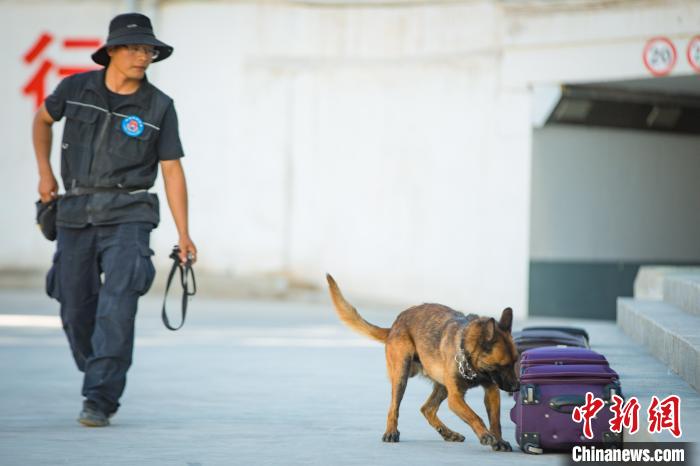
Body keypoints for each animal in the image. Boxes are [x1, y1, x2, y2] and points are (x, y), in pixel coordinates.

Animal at [326, 274, 516, 450]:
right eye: (503, 365)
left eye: (515, 362)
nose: (516, 388)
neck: (466, 351)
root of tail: (394, 325)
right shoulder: (455, 398)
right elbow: (474, 416)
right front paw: (485, 435)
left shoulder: (491, 391)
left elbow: (495, 421)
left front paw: (499, 440)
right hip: (401, 375)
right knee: (394, 408)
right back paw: (391, 432)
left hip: (441, 385)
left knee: (427, 409)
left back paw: (448, 433)